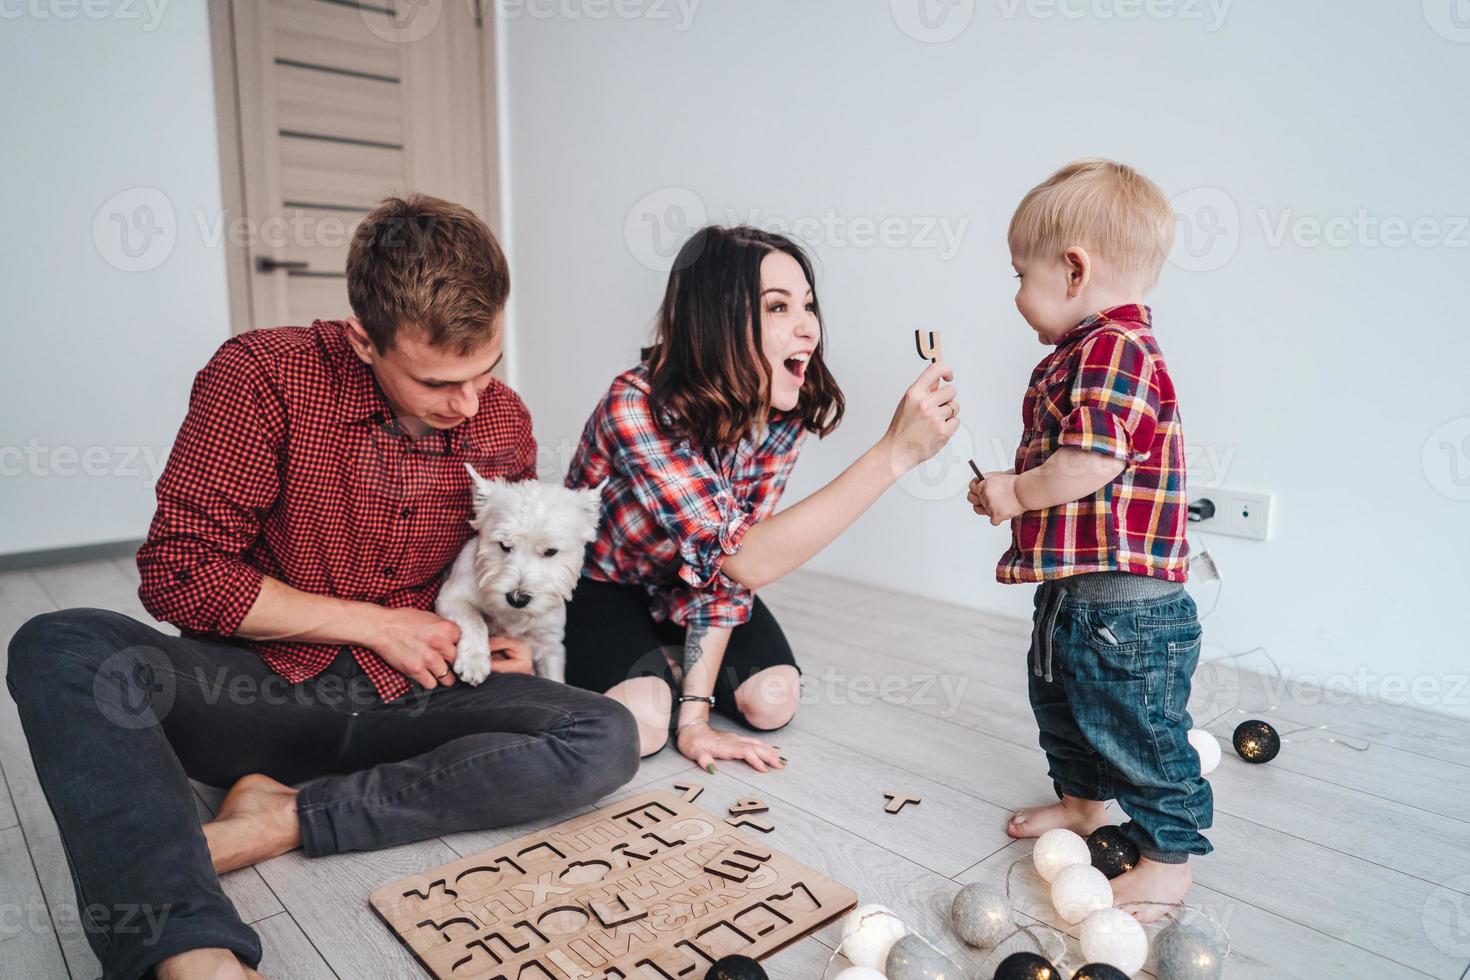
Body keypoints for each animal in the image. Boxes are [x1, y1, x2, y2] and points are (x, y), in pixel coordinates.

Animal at [432, 467, 599, 681]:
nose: (517, 599)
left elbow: (554, 677)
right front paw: (474, 660)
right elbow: (473, 618)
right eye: (504, 545)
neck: (514, 616)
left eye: (550, 551)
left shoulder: (550, 645)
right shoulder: (450, 597)